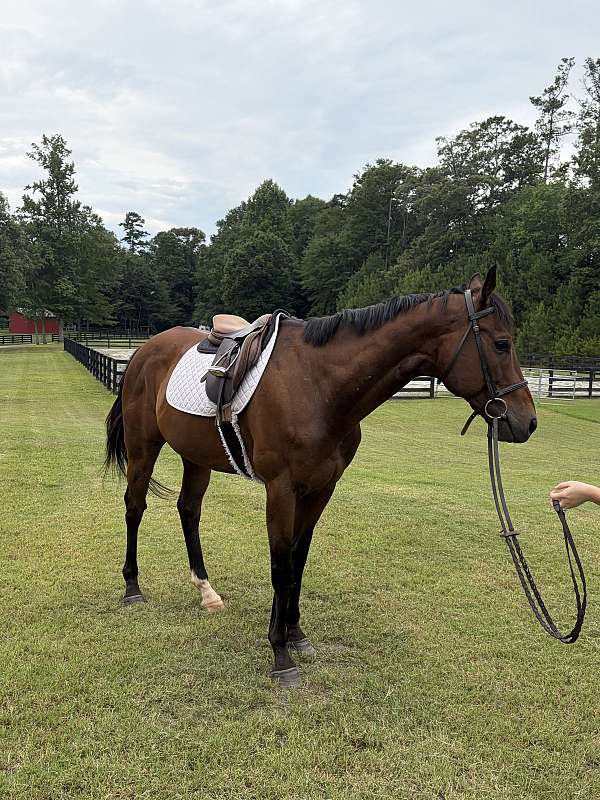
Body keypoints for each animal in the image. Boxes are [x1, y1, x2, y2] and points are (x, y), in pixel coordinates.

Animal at [105, 267, 537, 688]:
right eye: (501, 344)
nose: (527, 422)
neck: (318, 385)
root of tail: (143, 351)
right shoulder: (281, 490)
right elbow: (281, 567)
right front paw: (280, 656)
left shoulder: (321, 489)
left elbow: (298, 559)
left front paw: (296, 635)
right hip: (144, 448)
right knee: (135, 507)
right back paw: (132, 588)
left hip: (196, 457)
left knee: (189, 510)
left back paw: (206, 591)